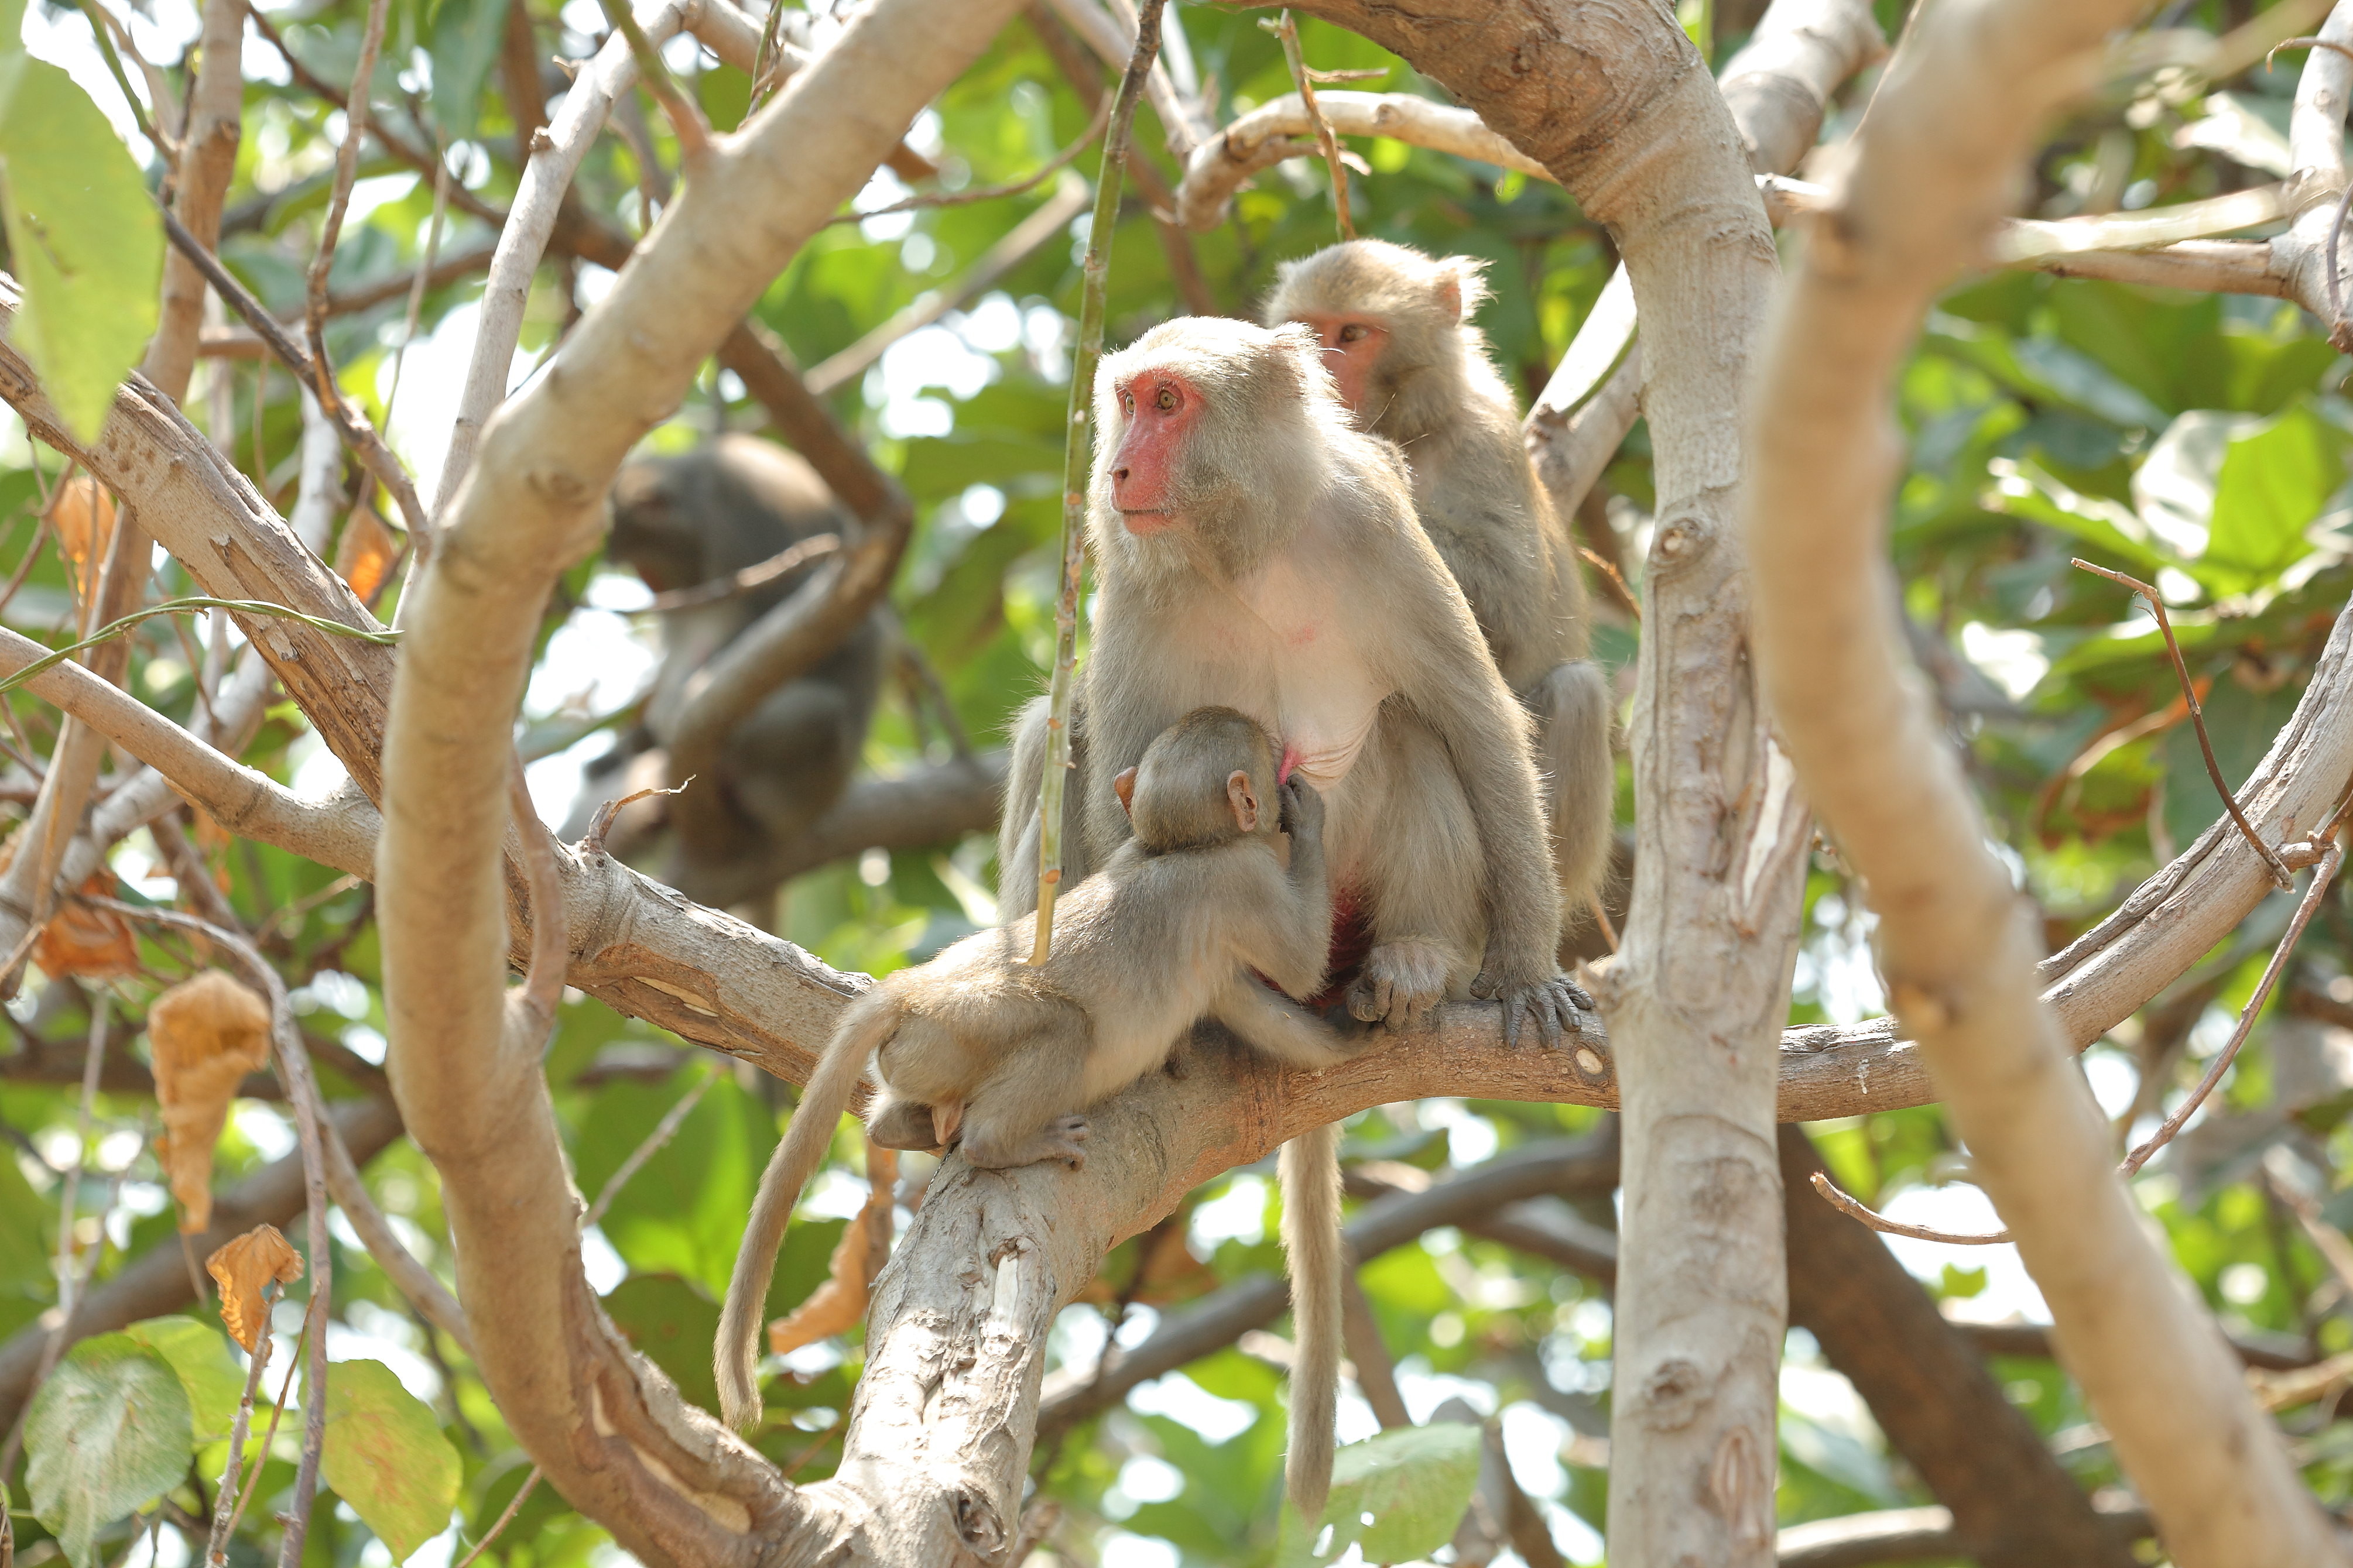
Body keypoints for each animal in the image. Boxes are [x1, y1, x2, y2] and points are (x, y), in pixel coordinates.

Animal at [564, 435, 885, 903]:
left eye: (647, 565)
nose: (658, 590)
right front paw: (631, 742)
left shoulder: (741, 530)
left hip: (802, 790)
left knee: (819, 714)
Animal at [710, 715, 1345, 1523]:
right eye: (1263, 754)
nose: (1285, 761)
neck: (1177, 848)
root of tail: (912, 991)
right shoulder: (1245, 883)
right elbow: (1299, 965)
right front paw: (1312, 824)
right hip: (968, 1028)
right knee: (1063, 1032)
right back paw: (1003, 1142)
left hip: (925, 1051)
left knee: (897, 1113)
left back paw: (901, 1129)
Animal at [1270, 239, 1619, 940]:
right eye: (1310, 331)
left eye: (1353, 335)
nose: (1320, 374)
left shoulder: (1484, 439)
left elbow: (1509, 605)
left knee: (1576, 691)